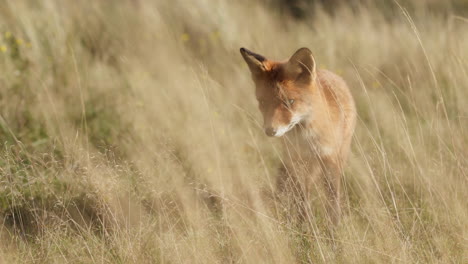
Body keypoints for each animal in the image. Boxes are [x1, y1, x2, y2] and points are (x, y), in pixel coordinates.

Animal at [239, 47, 356, 225]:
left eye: (290, 102)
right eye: (263, 102)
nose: (270, 131)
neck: (308, 139)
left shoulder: (330, 159)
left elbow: (332, 199)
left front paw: (334, 226)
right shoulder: (296, 161)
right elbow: (301, 199)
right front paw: (305, 225)